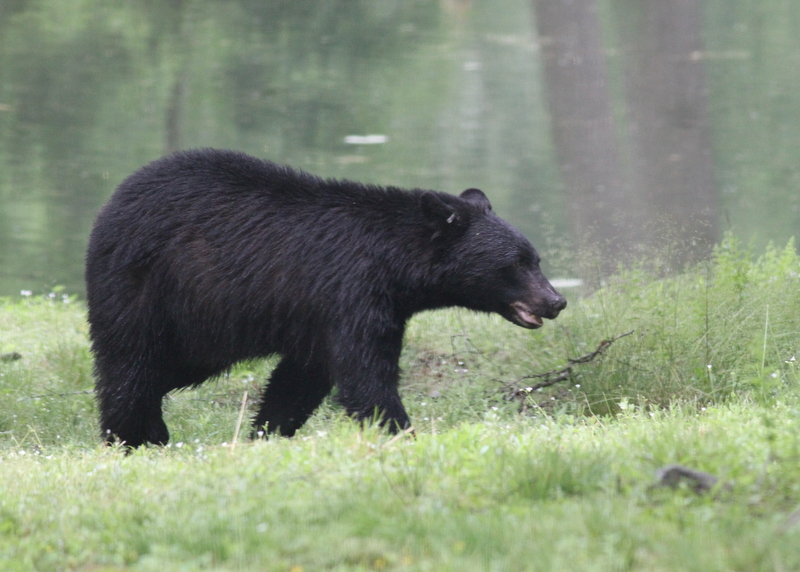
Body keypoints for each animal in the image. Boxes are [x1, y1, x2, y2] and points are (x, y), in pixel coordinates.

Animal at [84, 149, 564, 446]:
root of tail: (110, 204)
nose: (556, 301)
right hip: (148, 289)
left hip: (195, 330)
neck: (393, 267)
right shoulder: (350, 293)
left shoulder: (330, 315)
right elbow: (365, 378)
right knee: (131, 364)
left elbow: (300, 380)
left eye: (536, 258)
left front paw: (266, 434)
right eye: (517, 263)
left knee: (161, 370)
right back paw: (131, 436)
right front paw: (402, 435)